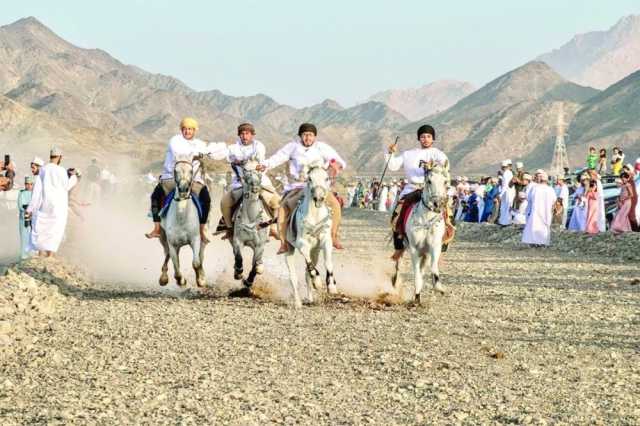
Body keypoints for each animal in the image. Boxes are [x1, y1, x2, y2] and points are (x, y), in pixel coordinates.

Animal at [159, 157, 206, 290]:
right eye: (175, 170)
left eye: (191, 170)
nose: (183, 189)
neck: (181, 217)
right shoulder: (173, 244)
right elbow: (176, 269)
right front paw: (181, 281)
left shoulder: (195, 239)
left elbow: (196, 263)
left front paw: (200, 280)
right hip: (164, 238)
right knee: (167, 254)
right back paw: (163, 277)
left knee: (201, 254)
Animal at [282, 161, 338, 308]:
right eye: (309, 179)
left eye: (326, 178)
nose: (319, 198)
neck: (315, 216)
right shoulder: (302, 243)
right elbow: (310, 266)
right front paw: (318, 282)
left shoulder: (326, 241)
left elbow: (328, 263)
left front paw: (331, 286)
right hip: (289, 251)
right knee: (294, 278)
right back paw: (298, 302)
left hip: (315, 251)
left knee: (307, 274)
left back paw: (310, 298)